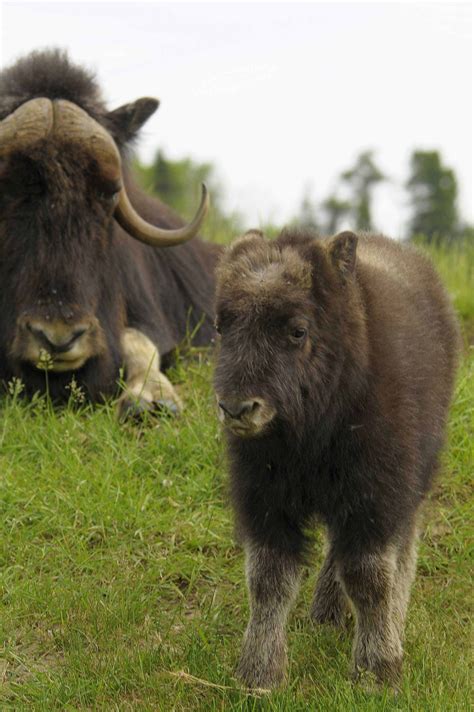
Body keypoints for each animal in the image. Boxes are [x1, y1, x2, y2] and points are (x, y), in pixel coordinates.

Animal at [214, 229, 460, 688]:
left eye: (297, 330)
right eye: (222, 326)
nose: (237, 409)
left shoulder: (376, 495)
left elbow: (368, 576)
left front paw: (377, 671)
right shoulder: (266, 501)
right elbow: (268, 579)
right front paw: (259, 675)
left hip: (411, 484)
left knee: (400, 550)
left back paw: (389, 623)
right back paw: (326, 614)